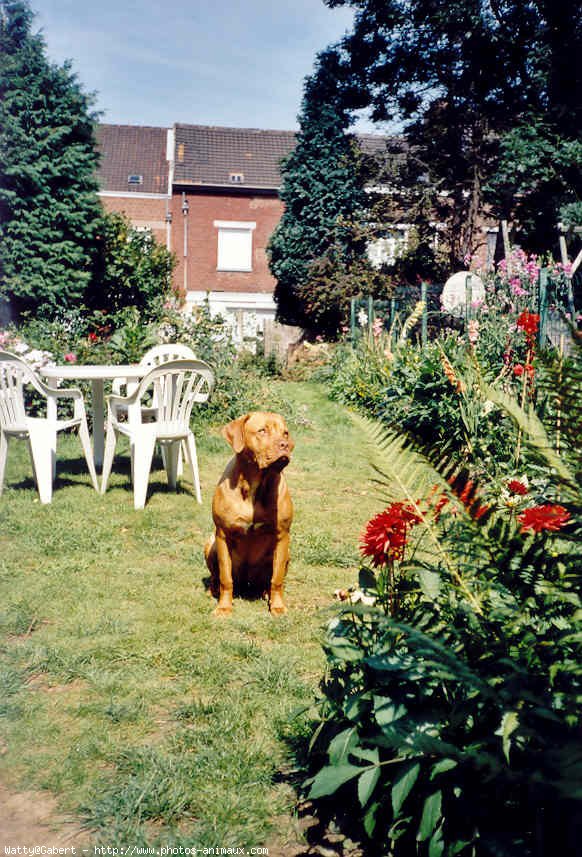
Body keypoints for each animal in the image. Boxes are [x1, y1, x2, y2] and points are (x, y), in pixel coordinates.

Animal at [206, 410, 296, 616]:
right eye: (262, 431)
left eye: (285, 433)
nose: (285, 445)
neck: (255, 484)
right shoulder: (222, 535)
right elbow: (225, 578)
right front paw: (224, 607)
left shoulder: (283, 535)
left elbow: (277, 579)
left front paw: (277, 606)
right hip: (210, 543)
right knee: (216, 576)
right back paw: (212, 590)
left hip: (285, 553)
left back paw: (266, 592)